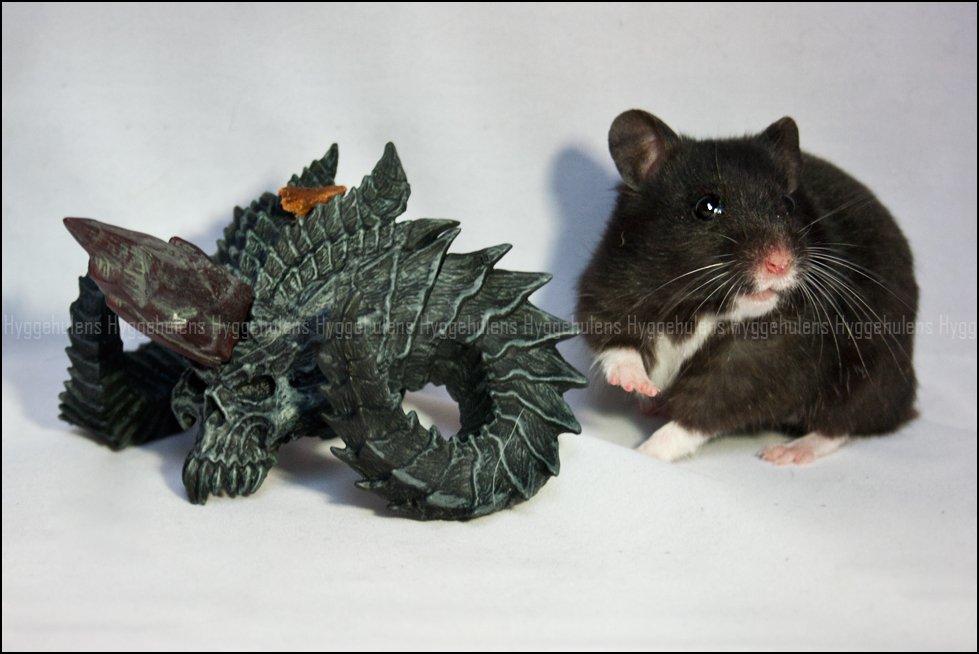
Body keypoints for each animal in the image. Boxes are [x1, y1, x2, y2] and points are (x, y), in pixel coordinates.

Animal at [576, 110, 918, 465]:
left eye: (788, 203)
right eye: (707, 206)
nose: (780, 263)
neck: (700, 304)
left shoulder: (753, 369)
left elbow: (699, 416)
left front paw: (645, 452)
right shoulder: (609, 288)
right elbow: (616, 343)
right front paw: (639, 387)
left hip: (872, 377)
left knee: (843, 424)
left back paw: (786, 453)